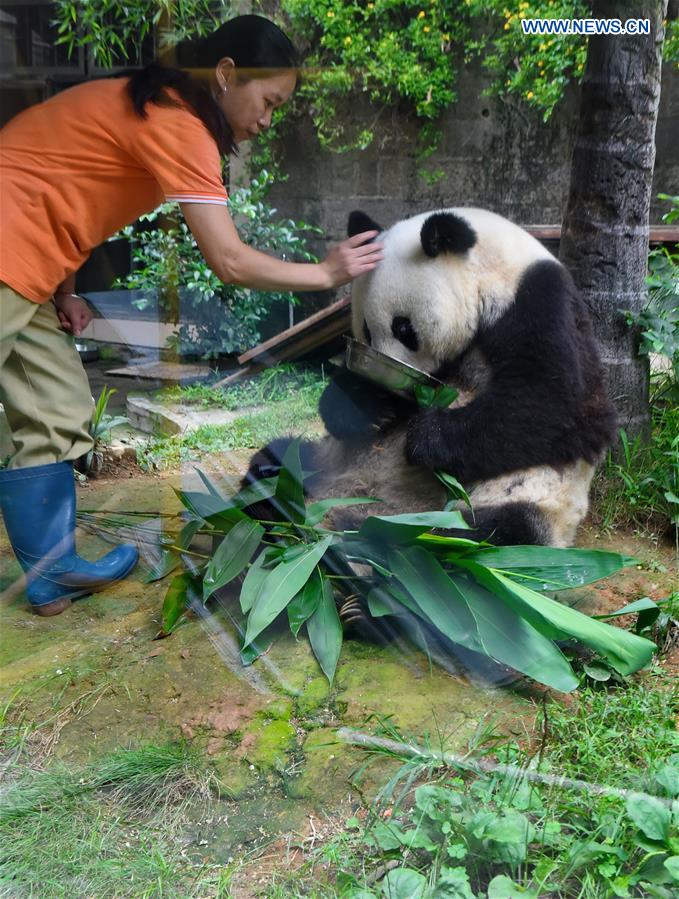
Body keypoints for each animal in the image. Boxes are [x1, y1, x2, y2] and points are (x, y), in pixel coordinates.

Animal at [246, 208, 620, 552]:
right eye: (365, 330)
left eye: (403, 328)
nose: (386, 378)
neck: (495, 265)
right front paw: (372, 406)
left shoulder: (538, 303)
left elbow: (561, 406)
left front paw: (426, 437)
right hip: (328, 459)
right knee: (283, 455)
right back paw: (275, 492)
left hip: (524, 501)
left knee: (488, 534)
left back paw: (370, 531)